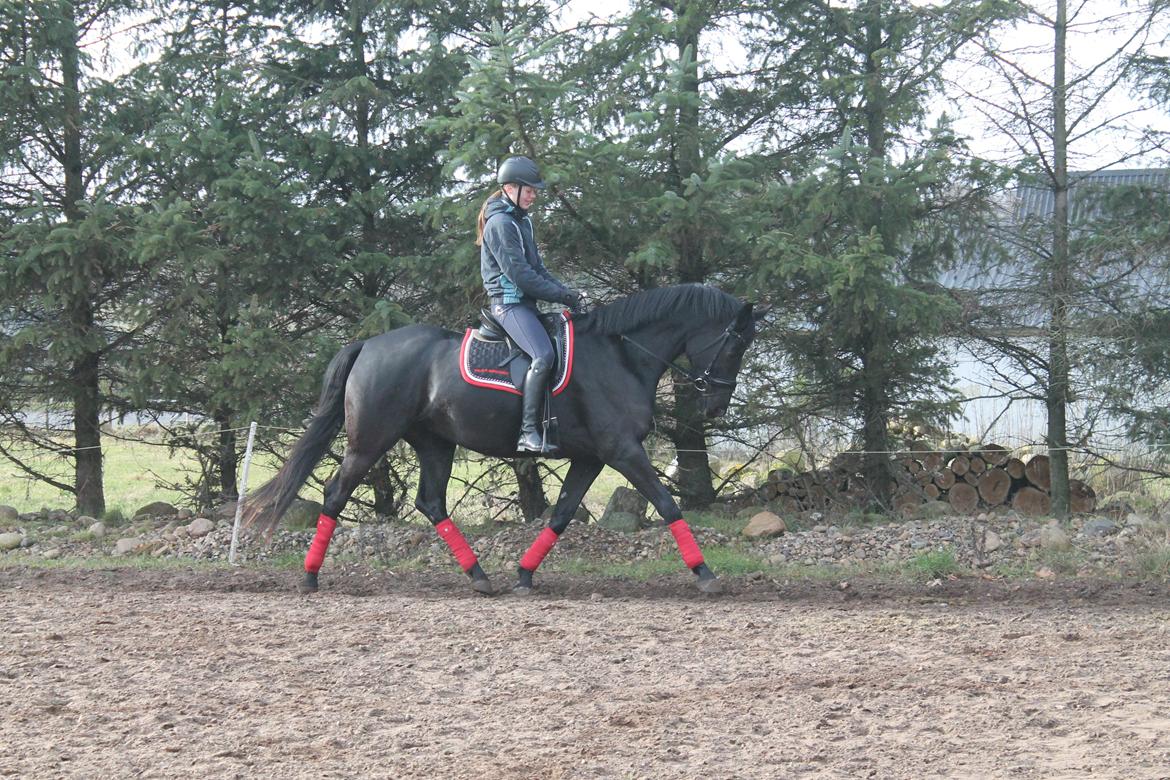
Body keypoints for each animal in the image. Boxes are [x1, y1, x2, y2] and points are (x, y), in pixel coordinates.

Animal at [242, 284, 762, 594]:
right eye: (736, 344)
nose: (716, 407)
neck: (621, 356)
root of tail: (368, 344)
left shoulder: (592, 457)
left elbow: (562, 514)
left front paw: (524, 574)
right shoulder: (622, 451)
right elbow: (668, 505)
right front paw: (706, 574)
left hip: (435, 443)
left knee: (431, 502)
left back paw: (479, 576)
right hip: (370, 440)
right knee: (335, 493)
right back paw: (310, 577)